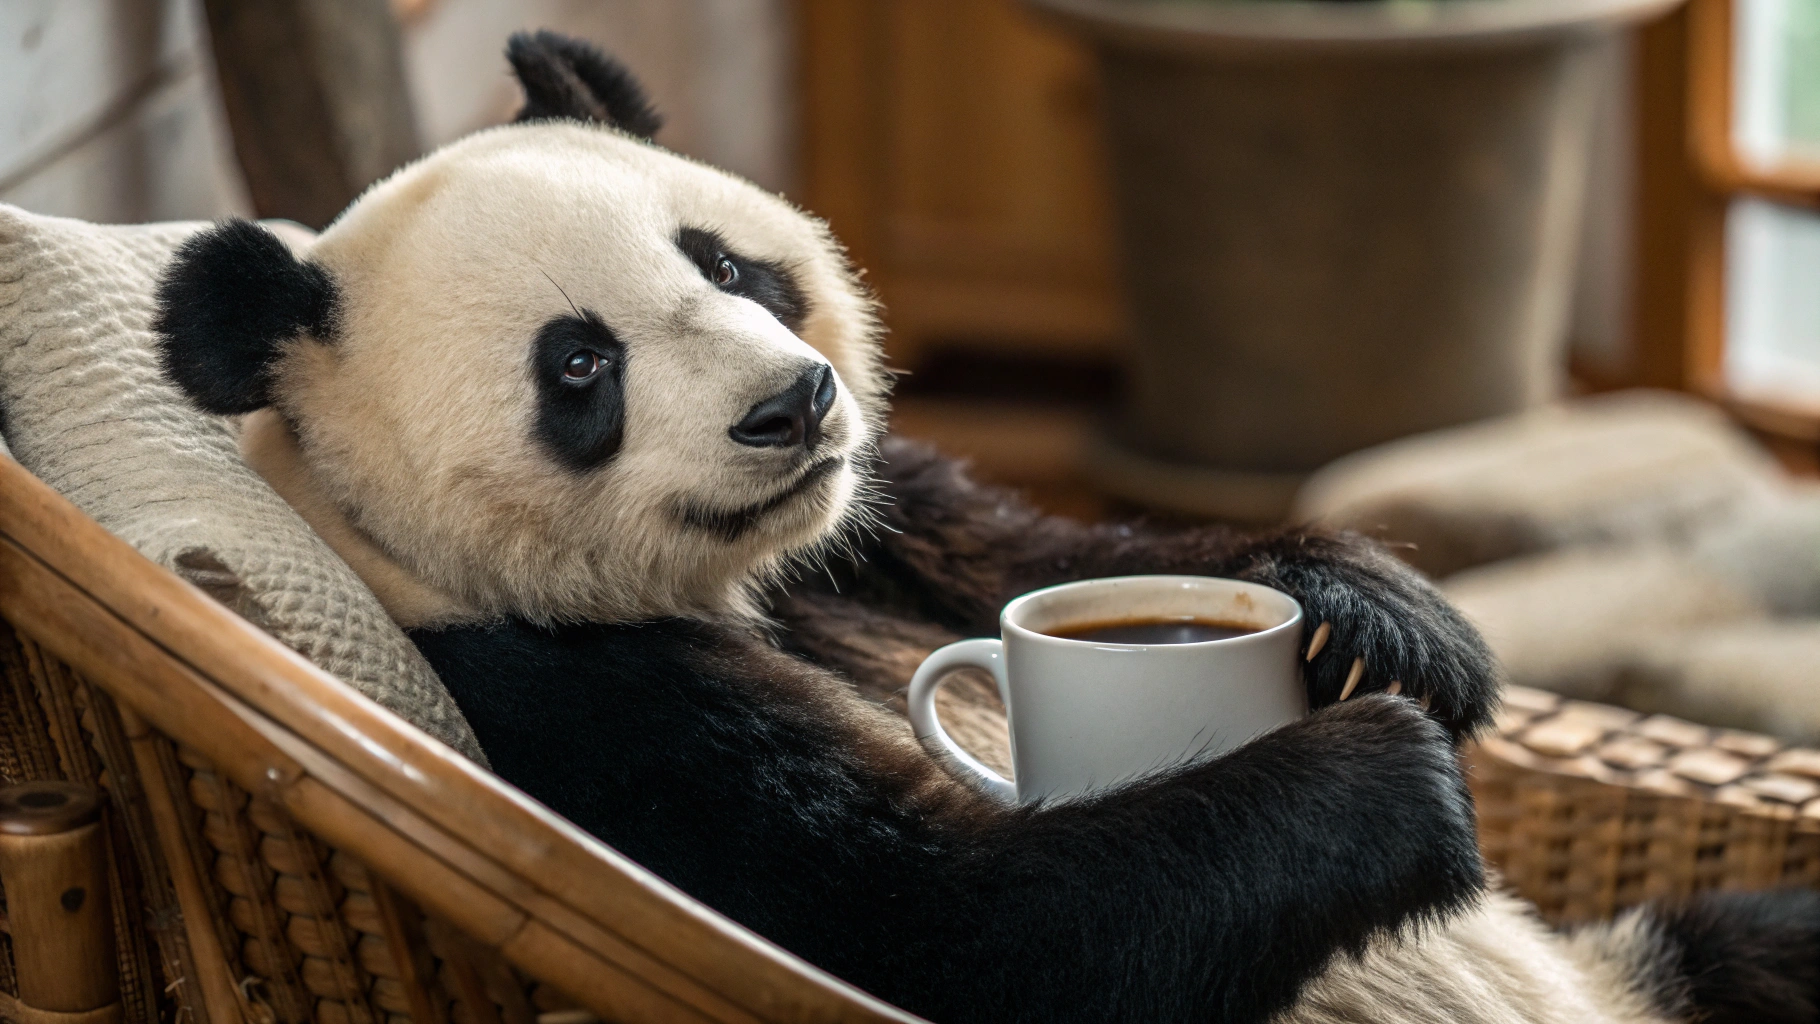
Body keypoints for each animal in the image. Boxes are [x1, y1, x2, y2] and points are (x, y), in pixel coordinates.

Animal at [150, 31, 1819, 1024]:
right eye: (580, 367)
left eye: (725, 266)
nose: (795, 404)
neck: (729, 584)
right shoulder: (568, 706)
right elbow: (956, 929)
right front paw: (1383, 767)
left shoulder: (882, 525)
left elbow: (1052, 562)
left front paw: (1380, 622)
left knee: (1763, 938)